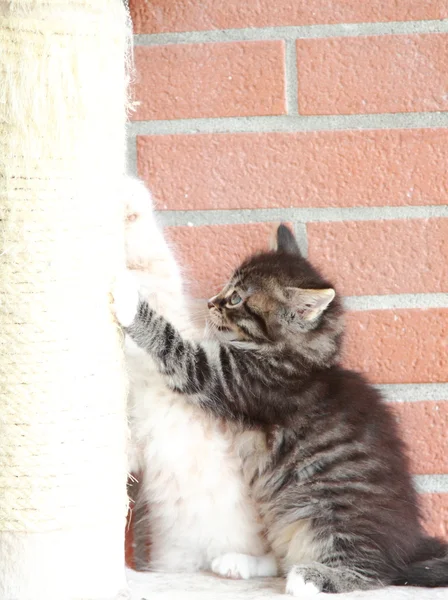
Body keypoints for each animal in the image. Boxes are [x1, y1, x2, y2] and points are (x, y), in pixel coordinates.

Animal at [113, 226, 448, 596]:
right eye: (226, 289)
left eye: (236, 299)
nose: (211, 302)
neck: (297, 360)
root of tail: (410, 546)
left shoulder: (226, 379)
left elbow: (172, 343)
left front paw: (130, 301)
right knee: (282, 557)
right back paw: (238, 562)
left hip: (333, 516)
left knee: (371, 572)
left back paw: (311, 577)